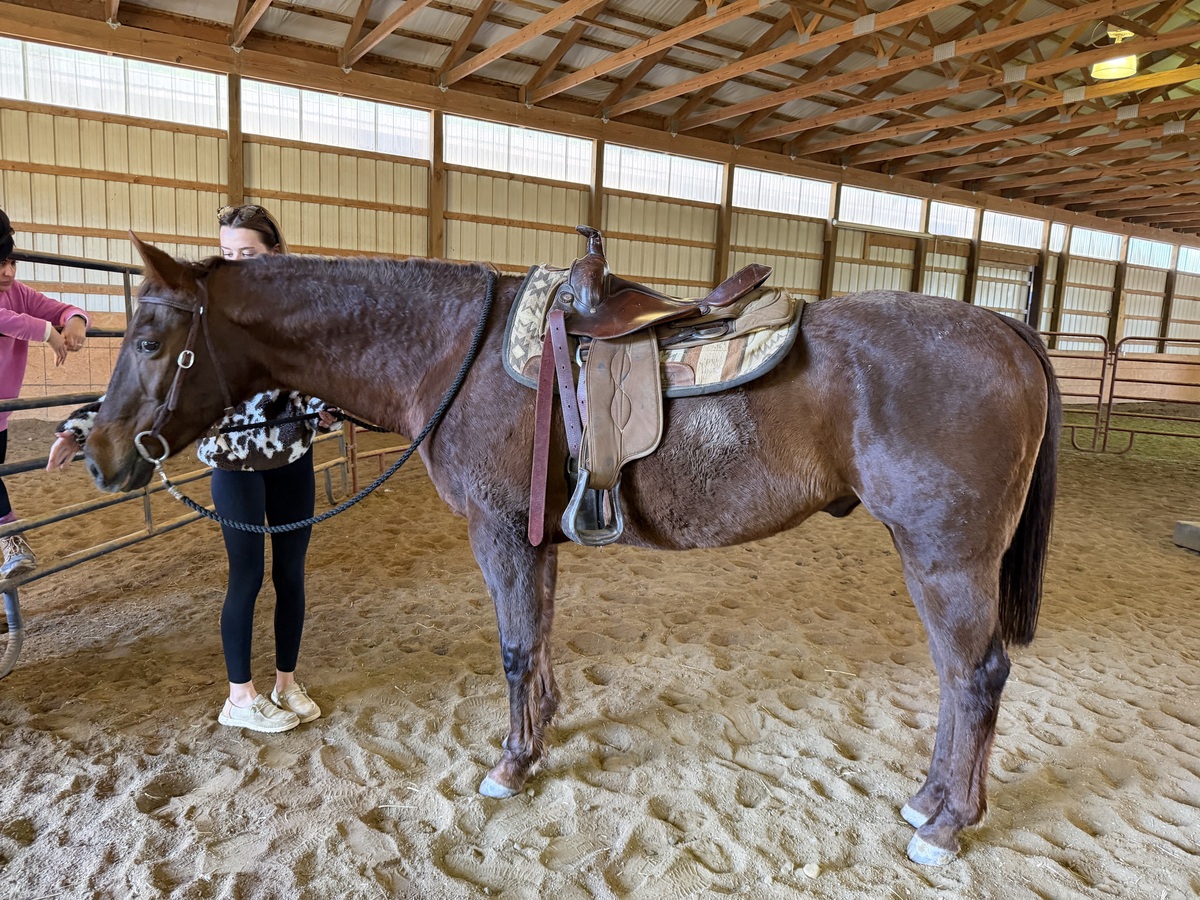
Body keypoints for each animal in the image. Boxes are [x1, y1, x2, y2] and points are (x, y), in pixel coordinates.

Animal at [83, 237, 1060, 866]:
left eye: (149, 339)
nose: (97, 453)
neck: (454, 351)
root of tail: (1006, 330)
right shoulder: (531, 534)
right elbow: (541, 637)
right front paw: (543, 733)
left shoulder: (495, 528)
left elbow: (516, 646)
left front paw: (511, 765)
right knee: (959, 679)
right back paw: (930, 802)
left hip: (944, 558)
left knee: (973, 676)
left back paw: (945, 825)